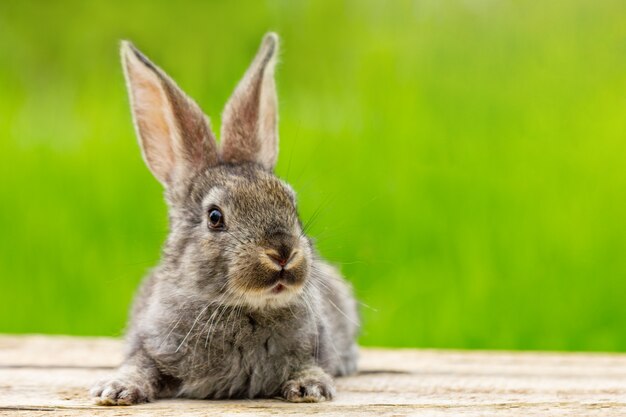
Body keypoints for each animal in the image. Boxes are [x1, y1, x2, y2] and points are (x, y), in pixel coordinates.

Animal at [90, 34, 358, 404]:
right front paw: (116, 390)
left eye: (292, 203)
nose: (282, 252)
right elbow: (140, 364)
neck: (244, 307)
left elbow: (309, 365)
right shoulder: (150, 344)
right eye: (215, 217)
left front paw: (310, 388)